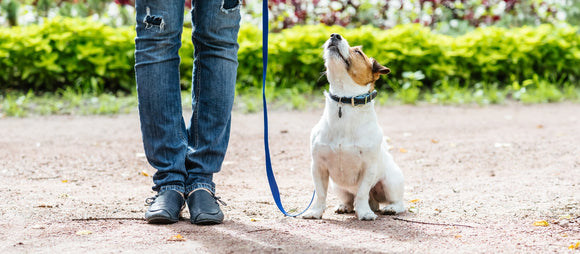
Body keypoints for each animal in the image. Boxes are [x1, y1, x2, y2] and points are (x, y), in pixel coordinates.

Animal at [304, 33, 404, 220]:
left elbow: (363, 193)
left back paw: (390, 208)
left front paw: (364, 212)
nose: (334, 35)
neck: (345, 100)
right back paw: (345, 206)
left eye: (358, 52)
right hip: (338, 187)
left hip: (390, 182)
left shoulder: (368, 168)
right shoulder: (318, 167)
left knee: (398, 202)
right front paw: (315, 211)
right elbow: (320, 193)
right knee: (350, 199)